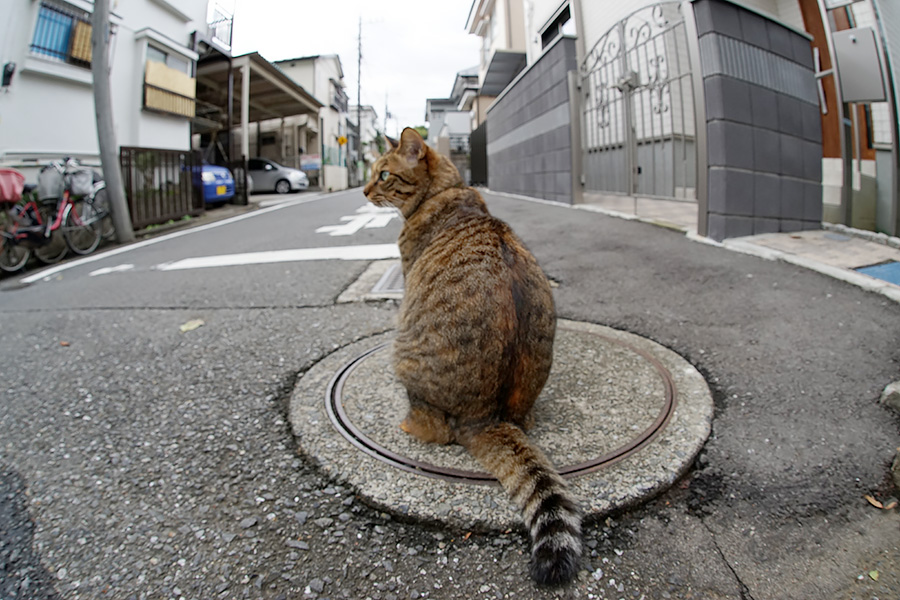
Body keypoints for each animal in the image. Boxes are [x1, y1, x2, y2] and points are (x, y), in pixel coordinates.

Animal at [362, 129, 580, 584]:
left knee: (432, 428)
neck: (447, 192)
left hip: (403, 352)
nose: (364, 190)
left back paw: (408, 424)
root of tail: (486, 418)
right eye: (372, 173)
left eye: (383, 174)